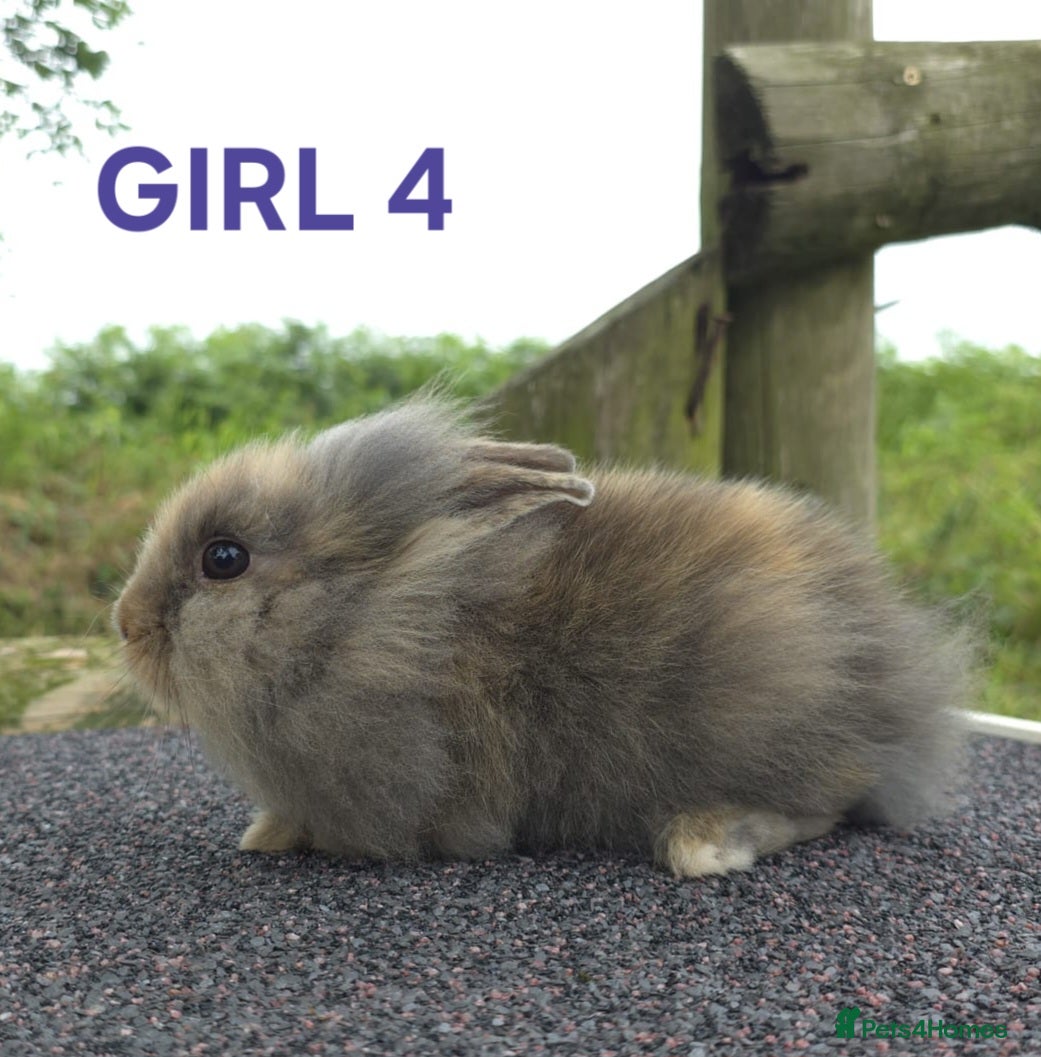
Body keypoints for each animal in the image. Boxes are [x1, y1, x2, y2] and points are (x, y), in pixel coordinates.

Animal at [114, 396, 974, 877]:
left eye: (224, 558)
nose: (126, 624)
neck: (359, 617)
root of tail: (895, 678)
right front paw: (264, 832)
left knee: (822, 803)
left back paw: (702, 843)